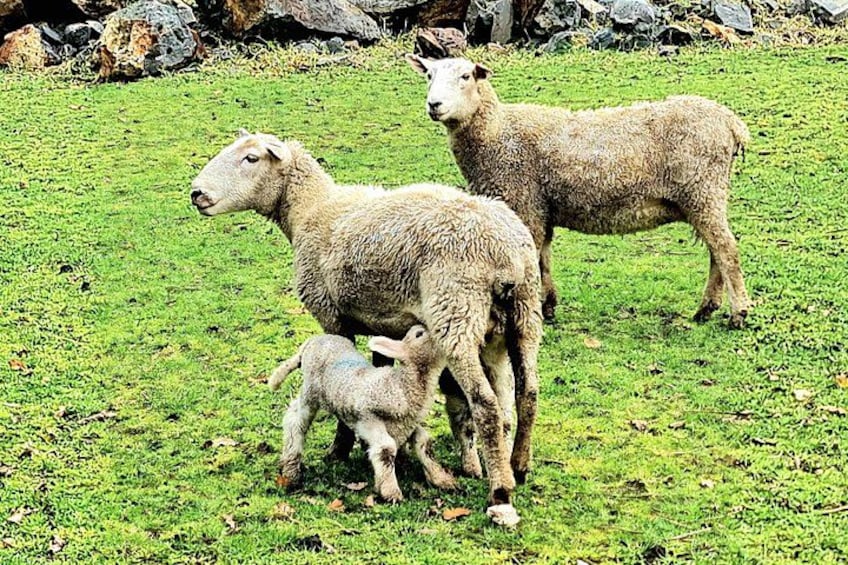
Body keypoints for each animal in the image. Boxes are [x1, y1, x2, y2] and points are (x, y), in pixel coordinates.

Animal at [268, 325, 457, 501]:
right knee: (295, 422)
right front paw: (390, 491)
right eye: (419, 334)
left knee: (293, 411)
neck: (401, 385)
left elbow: (424, 442)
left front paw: (441, 479)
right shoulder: (368, 419)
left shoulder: (406, 423)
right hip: (311, 392)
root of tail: (311, 341)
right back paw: (291, 469)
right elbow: (386, 448)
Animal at [406, 55, 752, 329]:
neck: (496, 132)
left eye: (466, 76)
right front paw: (548, 306)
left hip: (702, 190)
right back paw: (706, 309)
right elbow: (543, 259)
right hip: (703, 197)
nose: (434, 105)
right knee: (716, 250)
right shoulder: (540, 209)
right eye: (428, 75)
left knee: (726, 250)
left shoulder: (525, 203)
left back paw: (739, 313)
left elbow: (531, 260)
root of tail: (731, 123)